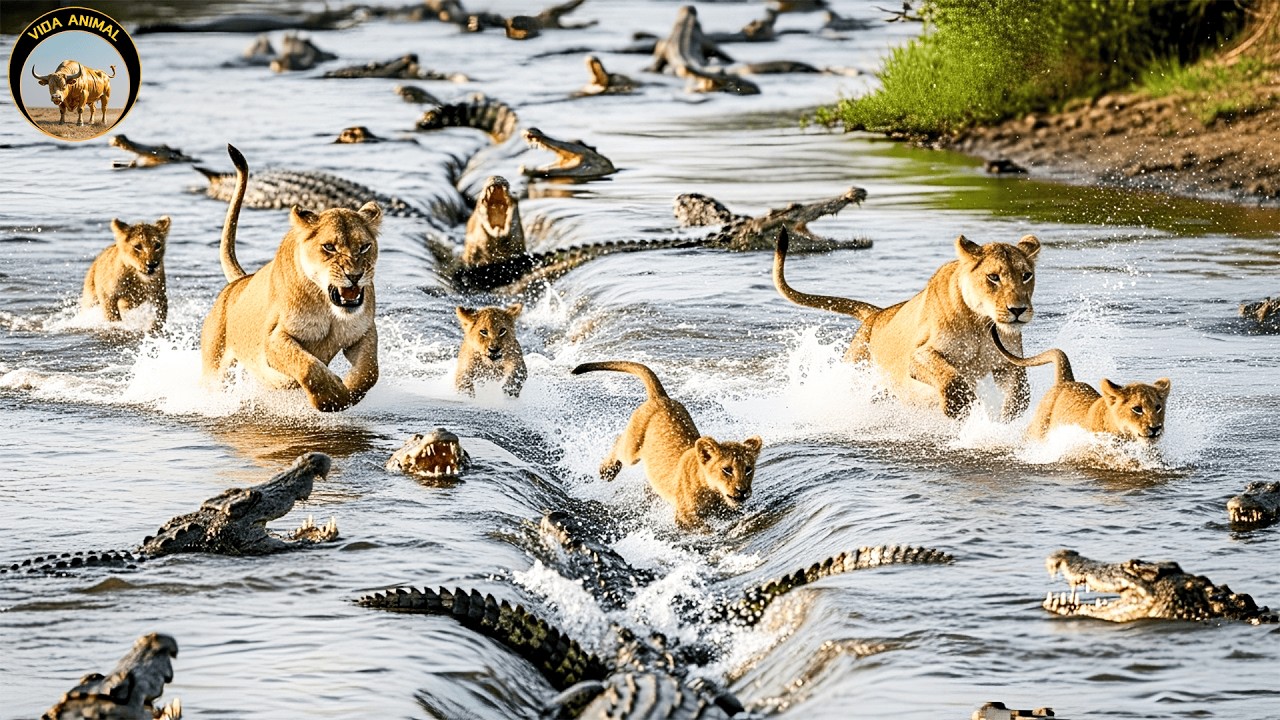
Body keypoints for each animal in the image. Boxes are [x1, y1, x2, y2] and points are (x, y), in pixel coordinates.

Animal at [200, 144, 382, 412]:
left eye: (365, 247)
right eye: (329, 247)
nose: (355, 276)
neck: (328, 309)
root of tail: (239, 282)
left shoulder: (364, 332)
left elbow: (370, 371)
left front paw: (347, 390)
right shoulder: (273, 339)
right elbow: (307, 365)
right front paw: (331, 397)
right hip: (214, 366)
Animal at [572, 361, 762, 529]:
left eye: (748, 469)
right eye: (726, 470)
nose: (742, 491)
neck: (714, 492)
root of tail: (661, 397)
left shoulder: (728, 512)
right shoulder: (683, 515)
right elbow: (704, 529)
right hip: (632, 451)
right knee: (619, 441)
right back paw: (607, 471)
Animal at [773, 226, 1041, 419]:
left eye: (1026, 275)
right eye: (993, 277)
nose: (1018, 310)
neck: (981, 324)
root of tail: (876, 314)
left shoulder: (1007, 363)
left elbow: (1022, 391)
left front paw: (1006, 418)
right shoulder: (917, 355)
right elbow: (949, 375)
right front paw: (958, 405)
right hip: (855, 376)